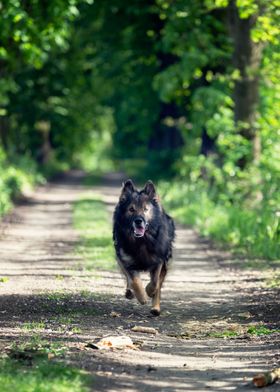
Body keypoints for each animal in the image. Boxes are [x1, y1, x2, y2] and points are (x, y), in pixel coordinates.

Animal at [112, 180, 174, 316]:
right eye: (131, 209)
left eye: (146, 209)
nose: (138, 221)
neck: (142, 241)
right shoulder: (124, 260)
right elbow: (134, 280)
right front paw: (141, 297)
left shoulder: (159, 260)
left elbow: (155, 282)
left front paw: (149, 291)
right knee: (129, 279)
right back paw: (130, 292)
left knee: (158, 285)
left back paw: (155, 308)